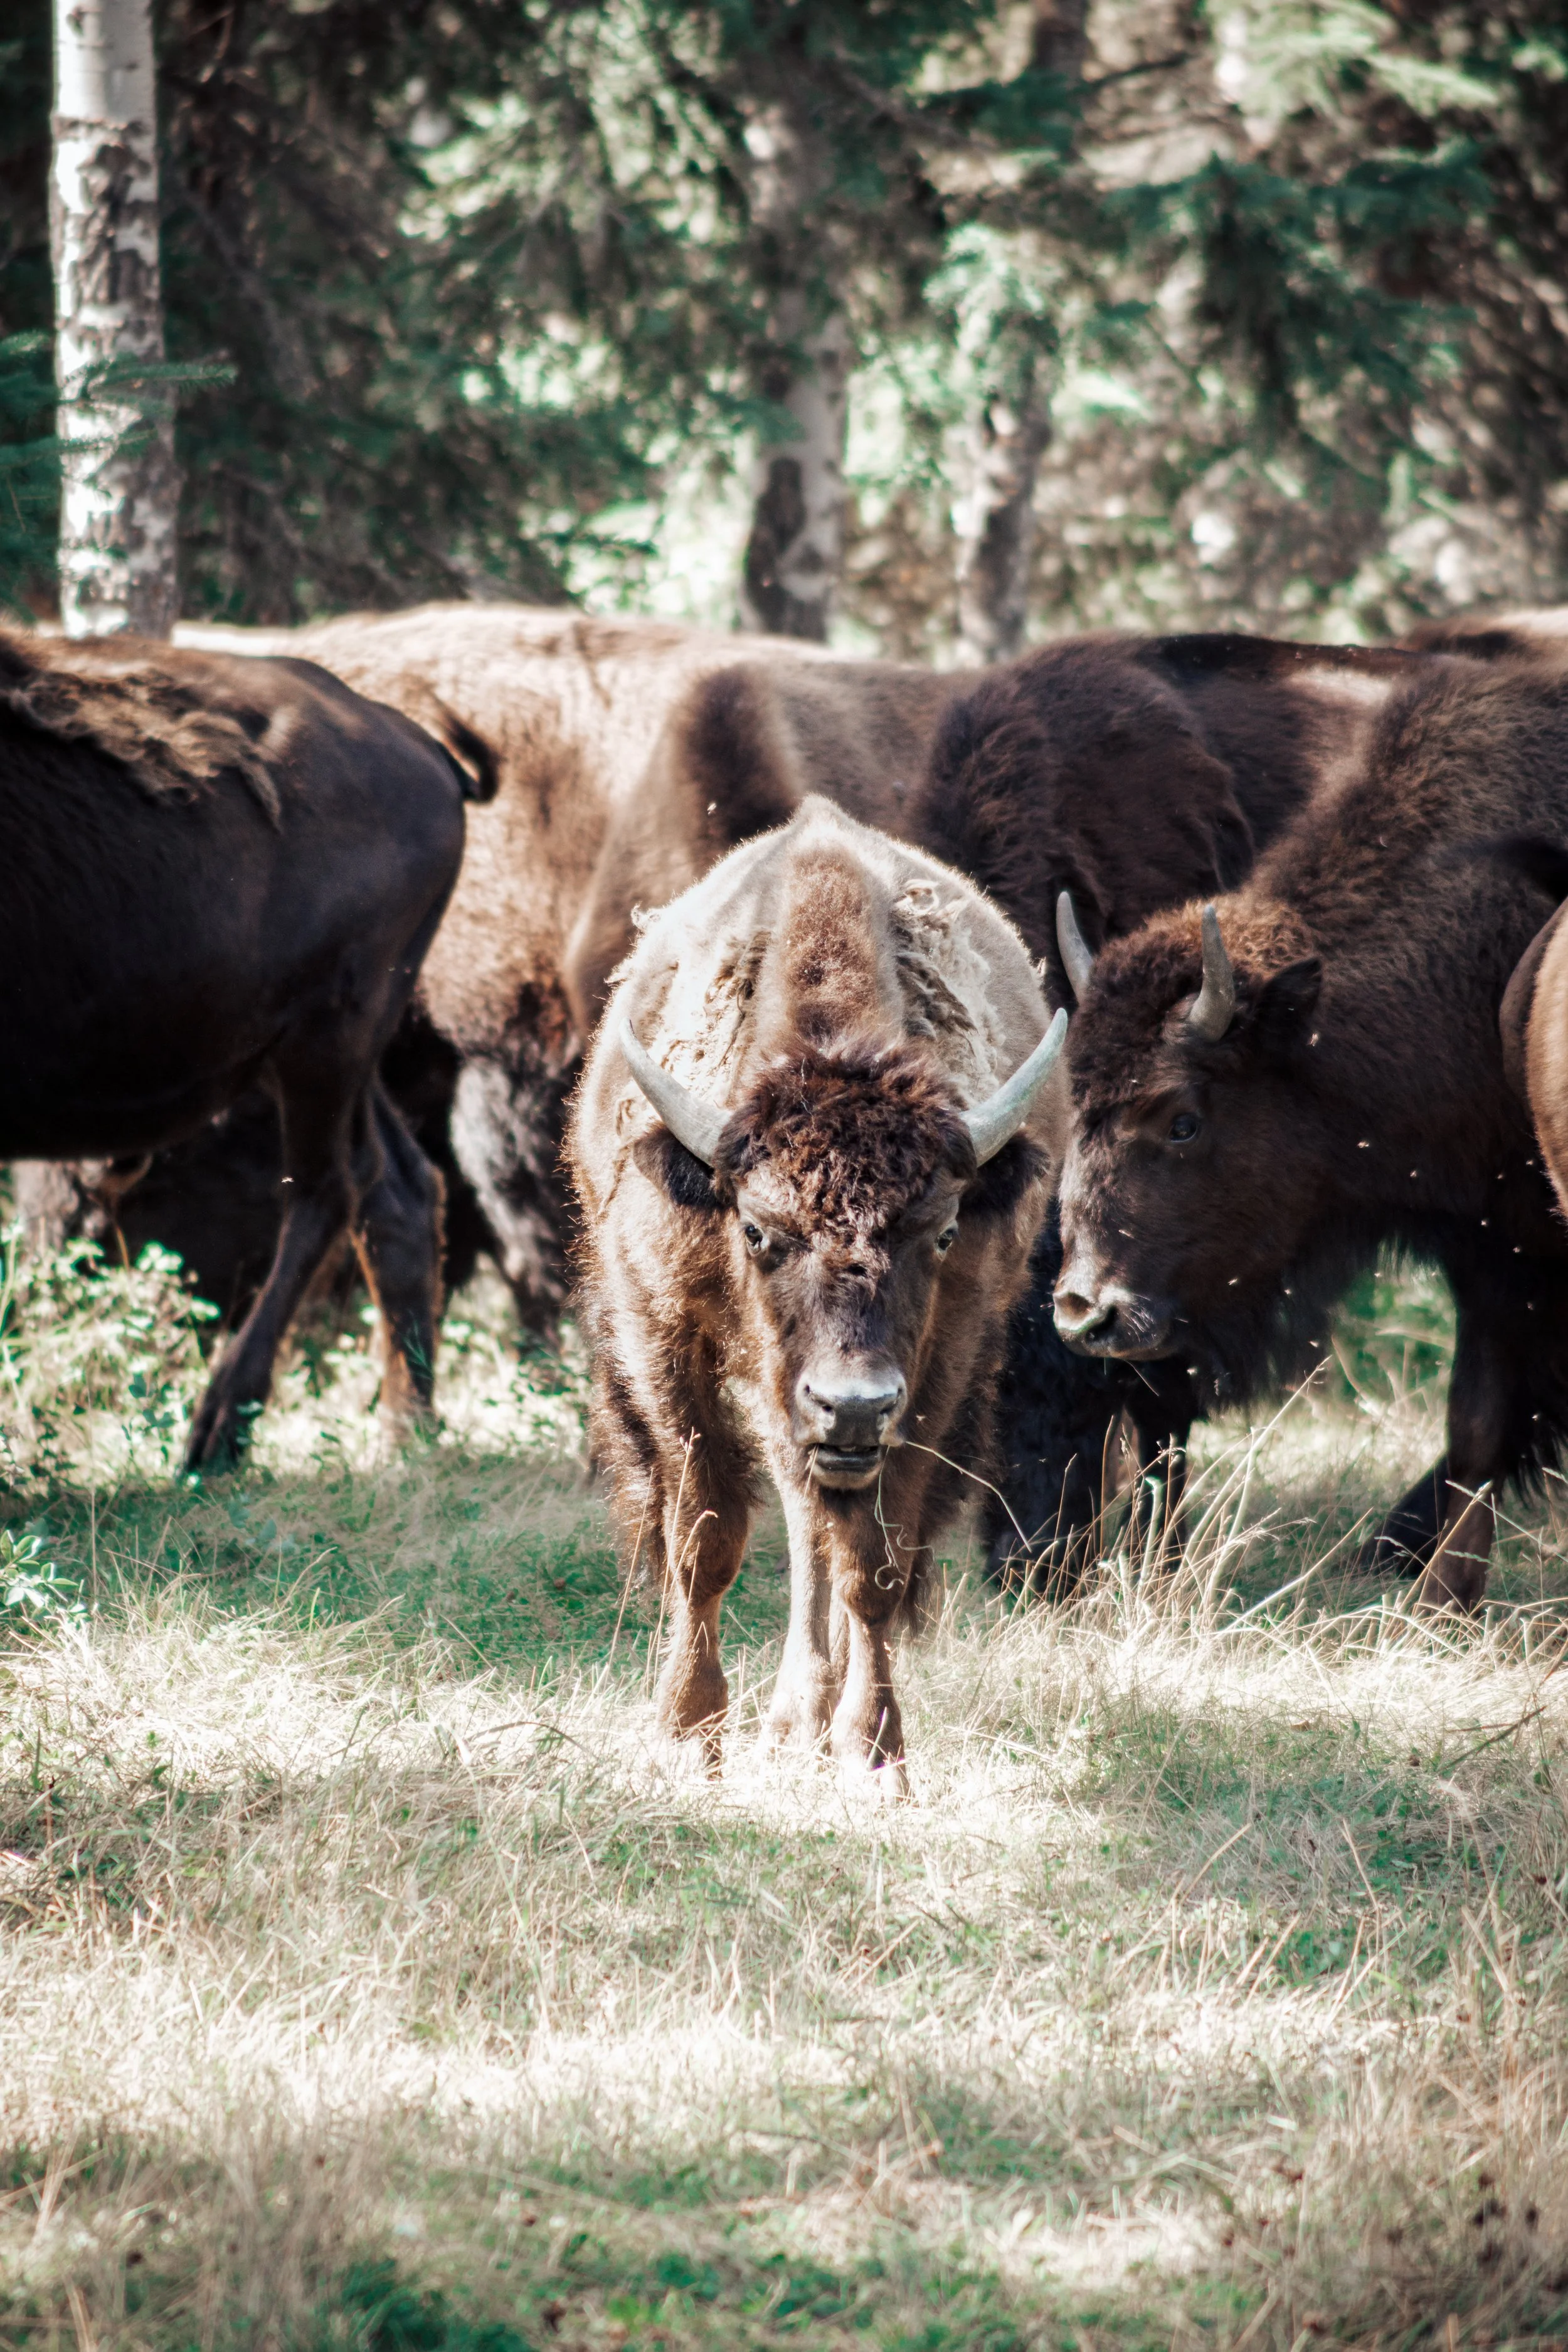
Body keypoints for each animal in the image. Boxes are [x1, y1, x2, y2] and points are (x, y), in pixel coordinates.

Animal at [0, 629, 476, 1467]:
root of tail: (417, 745)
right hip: (315, 1053)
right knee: (400, 1187)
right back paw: (403, 1432)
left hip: (326, 1035)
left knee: (330, 1187)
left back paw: (218, 1431)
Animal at [569, 798, 1064, 1787]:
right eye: (758, 1230)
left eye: (942, 1232)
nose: (854, 1403)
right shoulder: (664, 1334)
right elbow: (706, 1536)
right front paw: (687, 1734)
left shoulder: (938, 1369)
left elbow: (872, 1563)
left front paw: (874, 1757)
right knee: (796, 1510)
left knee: (826, 1530)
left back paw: (810, 1717)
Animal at [1050, 650, 1568, 1609]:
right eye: (1077, 1103)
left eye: (1183, 1119)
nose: (1084, 1312)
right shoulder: (1489, 1251)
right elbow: (1478, 1423)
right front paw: (1439, 1603)